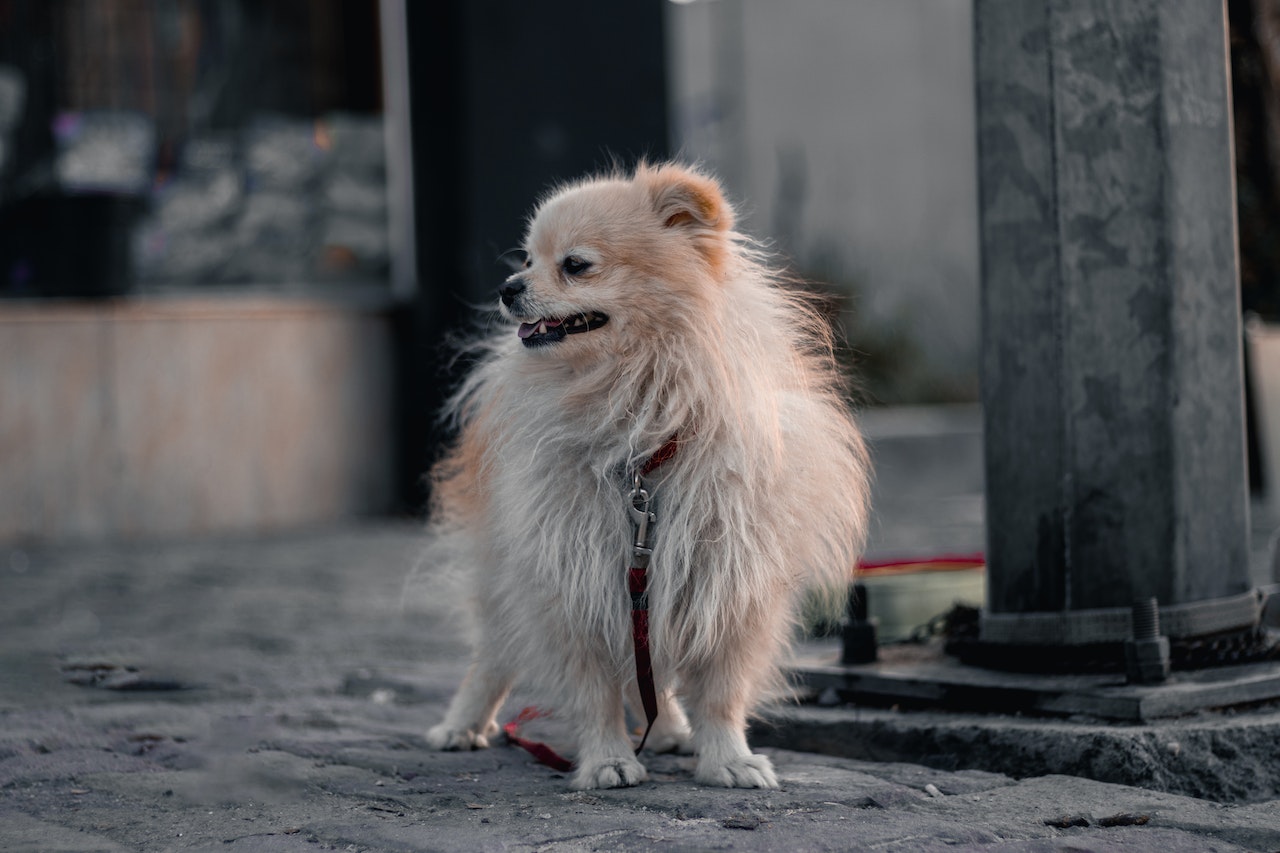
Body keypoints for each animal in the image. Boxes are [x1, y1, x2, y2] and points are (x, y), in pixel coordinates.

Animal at [427, 162, 870, 788]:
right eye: (527, 258)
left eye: (575, 264)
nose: (508, 286)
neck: (640, 431)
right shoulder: (572, 581)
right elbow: (595, 693)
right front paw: (609, 759)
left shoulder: (729, 583)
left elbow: (721, 693)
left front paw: (727, 758)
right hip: (507, 576)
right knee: (491, 655)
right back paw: (462, 724)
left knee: (648, 670)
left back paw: (668, 730)